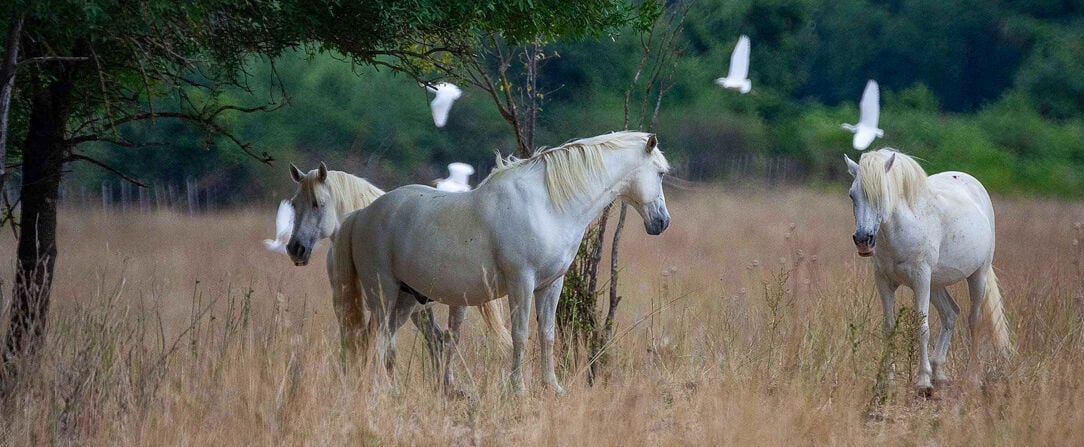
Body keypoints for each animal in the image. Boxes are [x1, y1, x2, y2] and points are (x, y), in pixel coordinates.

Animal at [333, 130, 667, 392]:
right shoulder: (521, 282)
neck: (547, 205)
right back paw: (380, 389)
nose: (662, 222)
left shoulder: (550, 285)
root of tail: (361, 214)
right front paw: (517, 388)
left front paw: (552, 387)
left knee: (380, 340)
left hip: (406, 299)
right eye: (661, 173)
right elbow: (520, 336)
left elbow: (547, 335)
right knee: (375, 339)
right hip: (383, 294)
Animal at [841, 149, 1010, 390]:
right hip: (937, 284)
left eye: (882, 195)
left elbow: (922, 327)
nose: (863, 240)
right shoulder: (884, 282)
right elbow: (889, 327)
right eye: (852, 195)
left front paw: (922, 381)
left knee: (974, 320)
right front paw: (889, 380)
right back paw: (939, 372)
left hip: (977, 276)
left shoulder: (921, 279)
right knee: (951, 313)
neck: (900, 230)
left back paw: (971, 375)